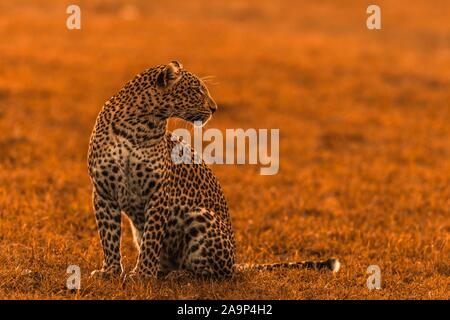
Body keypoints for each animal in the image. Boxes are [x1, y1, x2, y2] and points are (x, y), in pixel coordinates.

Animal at [87, 61, 342, 282]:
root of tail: (234, 261)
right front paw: (110, 272)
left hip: (199, 217)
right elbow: (109, 237)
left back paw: (180, 275)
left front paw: (142, 275)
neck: (138, 127)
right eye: (196, 90)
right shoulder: (103, 192)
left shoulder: (158, 194)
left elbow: (151, 239)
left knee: (215, 272)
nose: (214, 108)